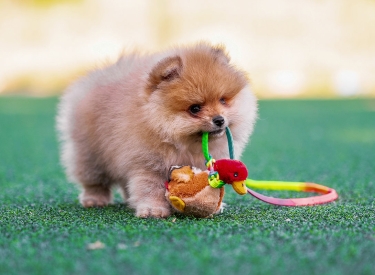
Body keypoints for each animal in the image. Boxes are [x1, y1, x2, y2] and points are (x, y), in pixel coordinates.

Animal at [56, 42, 258, 219]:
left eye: (223, 100)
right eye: (195, 108)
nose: (219, 119)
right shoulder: (148, 164)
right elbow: (150, 188)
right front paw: (153, 210)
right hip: (90, 154)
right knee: (94, 179)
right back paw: (95, 199)